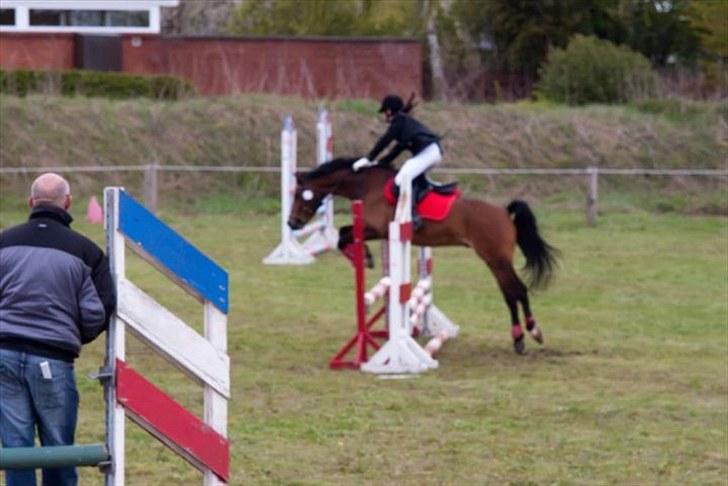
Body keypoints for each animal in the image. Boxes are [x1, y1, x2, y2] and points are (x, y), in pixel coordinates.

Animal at [287, 157, 559, 354]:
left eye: (300, 194)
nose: (292, 223)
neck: (367, 186)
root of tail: (504, 212)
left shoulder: (377, 229)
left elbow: (343, 236)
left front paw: (363, 258)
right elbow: (343, 234)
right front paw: (364, 257)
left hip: (495, 259)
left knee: (515, 291)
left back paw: (529, 334)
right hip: (496, 260)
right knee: (511, 292)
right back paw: (522, 337)